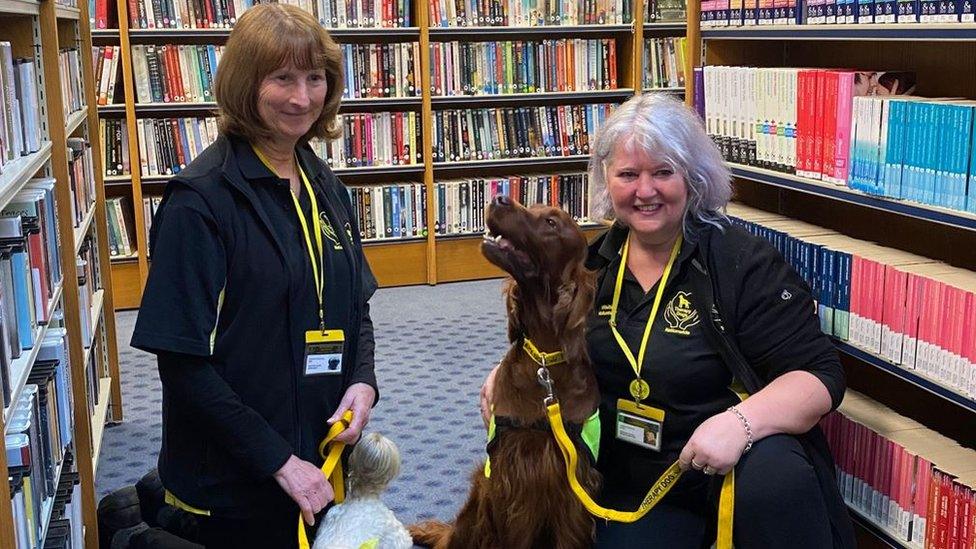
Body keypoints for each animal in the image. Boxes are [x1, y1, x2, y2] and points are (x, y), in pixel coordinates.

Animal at [406, 196, 604, 548]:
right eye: (533, 205)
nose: (498, 197)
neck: (544, 363)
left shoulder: (573, 487)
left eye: (551, 222)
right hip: (478, 499)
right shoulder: (511, 481)